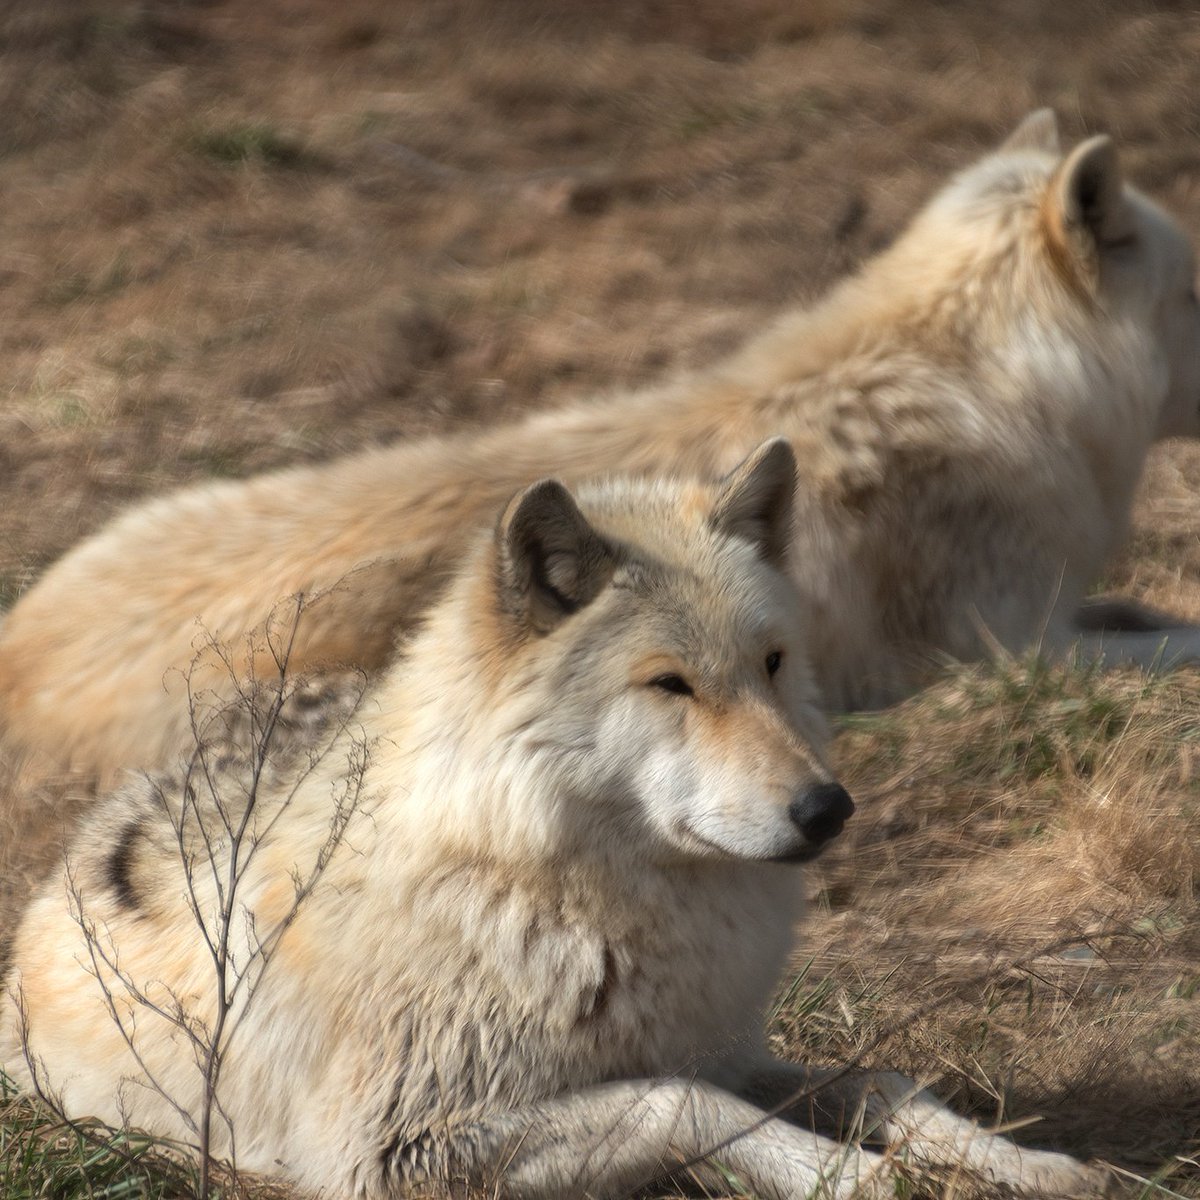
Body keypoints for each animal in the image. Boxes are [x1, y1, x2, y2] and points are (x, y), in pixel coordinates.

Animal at [1, 109, 1198, 793]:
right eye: (1197, 284)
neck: (996, 388)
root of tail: (20, 655)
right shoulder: (1017, 651)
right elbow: (1179, 644)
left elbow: (1153, 611)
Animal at [1, 442, 1109, 1199]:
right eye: (670, 685)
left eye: (771, 664)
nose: (827, 809)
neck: (562, 896)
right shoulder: (392, 1152)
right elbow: (683, 1103)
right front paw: (860, 1177)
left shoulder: (718, 1043)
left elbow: (881, 1077)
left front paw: (1030, 1162)